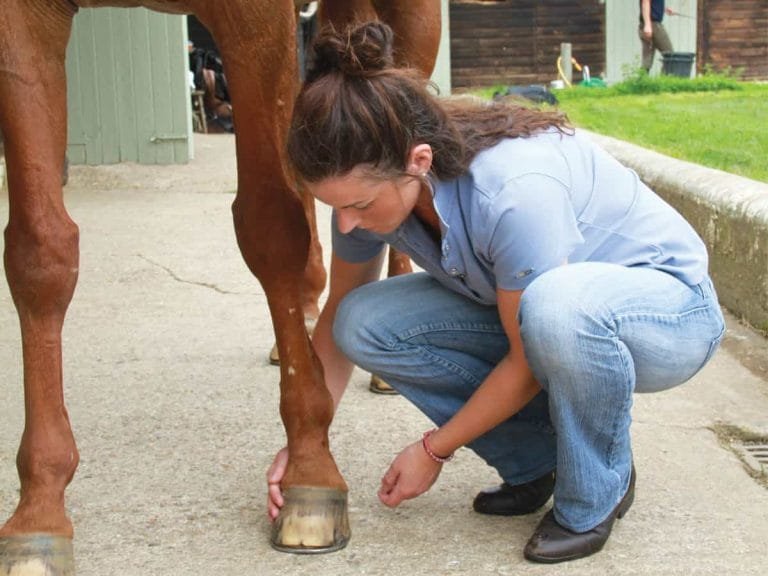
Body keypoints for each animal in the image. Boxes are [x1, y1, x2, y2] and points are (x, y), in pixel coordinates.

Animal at [0, 0, 440, 572]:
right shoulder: (22, 22)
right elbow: (40, 254)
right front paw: (38, 512)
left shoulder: (254, 19)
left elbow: (270, 226)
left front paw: (309, 474)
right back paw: (302, 320)